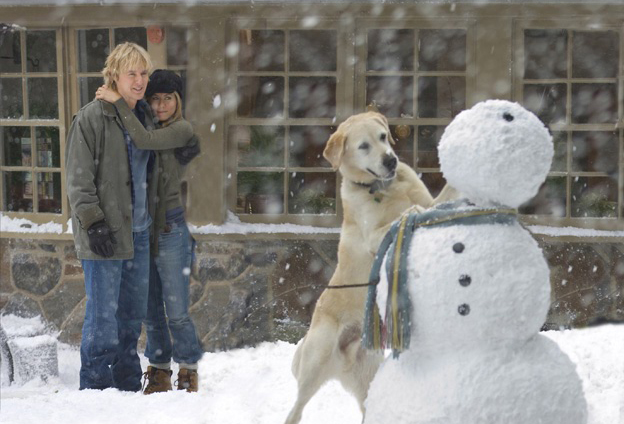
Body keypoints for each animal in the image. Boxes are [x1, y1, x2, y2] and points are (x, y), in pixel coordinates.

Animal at [286, 112, 456, 424]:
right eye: (363, 146)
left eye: (382, 136)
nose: (390, 160)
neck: (385, 187)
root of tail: (342, 361)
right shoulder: (371, 238)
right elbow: (399, 219)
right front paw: (410, 213)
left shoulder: (434, 200)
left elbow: (440, 198)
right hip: (314, 365)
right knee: (296, 409)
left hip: (369, 377)